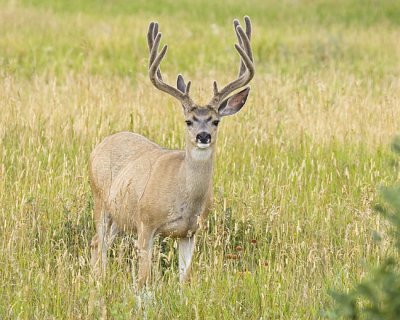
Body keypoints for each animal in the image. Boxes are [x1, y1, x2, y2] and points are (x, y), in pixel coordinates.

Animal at [89, 15, 255, 288]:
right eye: (188, 121)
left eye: (216, 121)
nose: (203, 136)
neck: (184, 195)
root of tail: (102, 143)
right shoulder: (146, 223)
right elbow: (143, 280)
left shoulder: (190, 232)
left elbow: (184, 278)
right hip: (100, 201)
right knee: (98, 243)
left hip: (120, 215)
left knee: (100, 243)